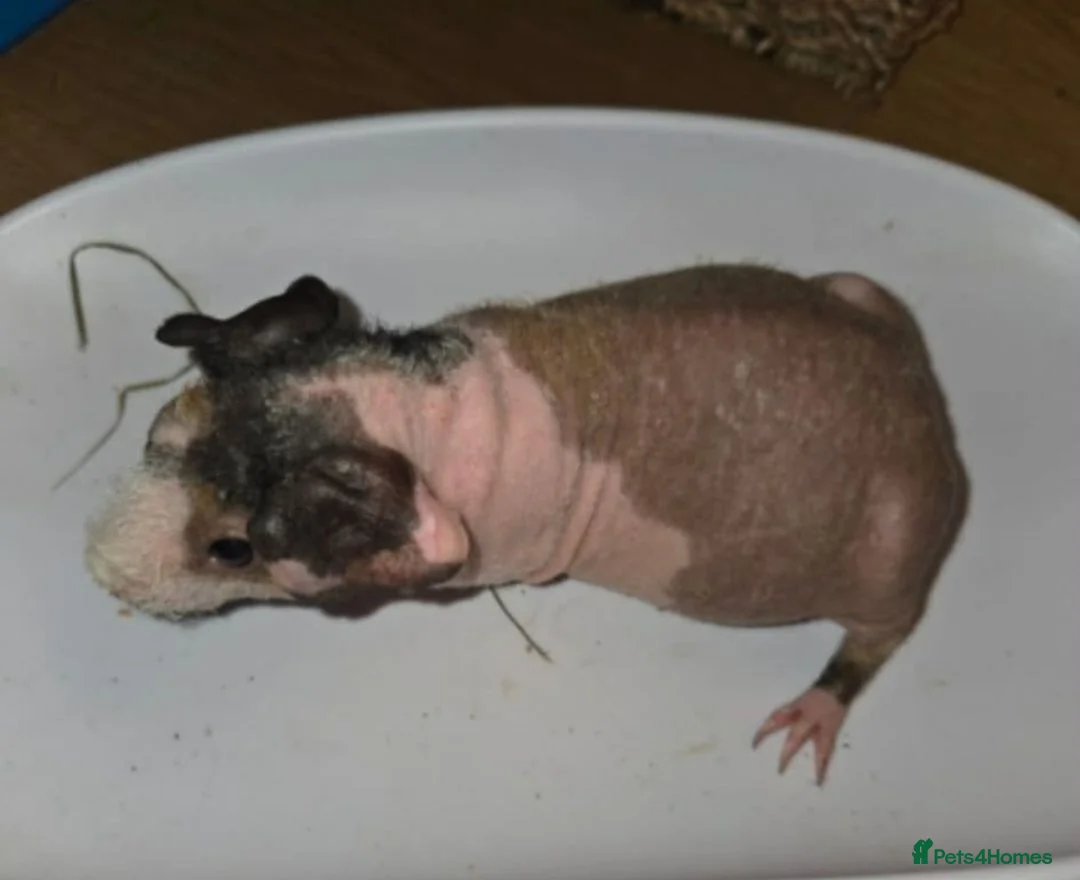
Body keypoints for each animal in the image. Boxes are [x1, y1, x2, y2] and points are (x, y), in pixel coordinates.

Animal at [84, 263, 968, 784]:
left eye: (234, 548)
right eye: (156, 434)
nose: (101, 567)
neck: (409, 410)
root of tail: (931, 427)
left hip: (888, 560)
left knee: (875, 642)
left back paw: (802, 725)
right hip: (859, 290)